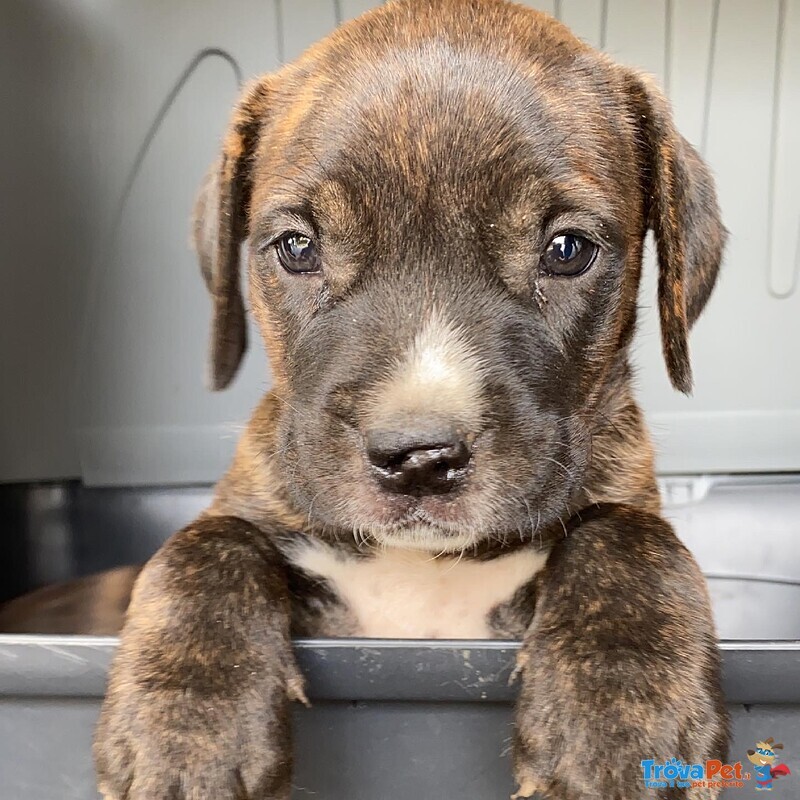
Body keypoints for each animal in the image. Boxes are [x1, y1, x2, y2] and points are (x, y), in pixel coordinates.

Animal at [94, 0, 724, 796]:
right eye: (297, 247)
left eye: (567, 250)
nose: (419, 457)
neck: (423, 566)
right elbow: (204, 544)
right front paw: (186, 727)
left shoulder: (624, 501)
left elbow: (629, 535)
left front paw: (619, 716)